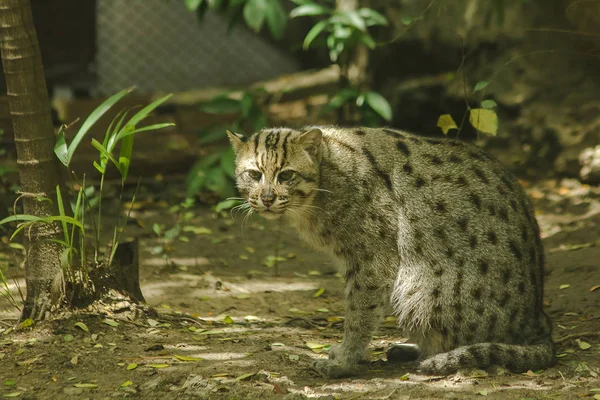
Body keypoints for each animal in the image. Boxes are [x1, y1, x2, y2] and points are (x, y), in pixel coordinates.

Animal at [227, 126, 556, 378]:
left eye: (286, 175)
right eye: (254, 174)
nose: (266, 198)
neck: (325, 178)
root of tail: (539, 321)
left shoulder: (373, 260)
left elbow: (358, 314)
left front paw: (345, 361)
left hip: (417, 288)